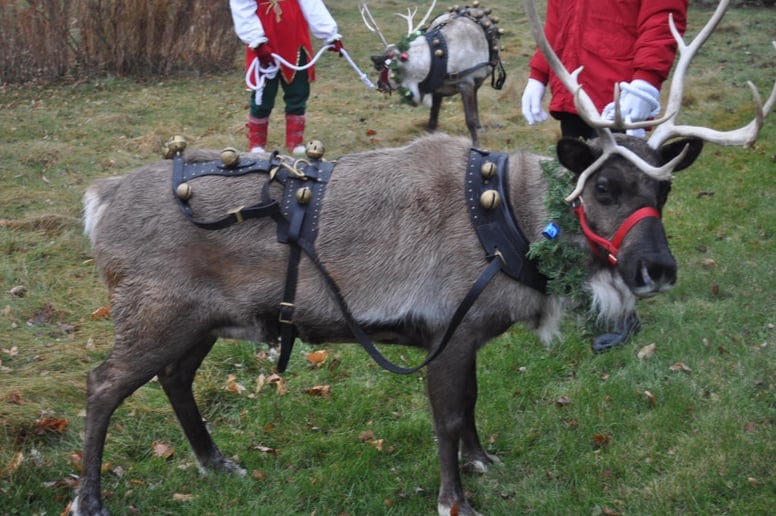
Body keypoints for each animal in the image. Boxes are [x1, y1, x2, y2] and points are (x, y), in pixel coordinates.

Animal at [361, 0, 506, 147]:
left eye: (382, 67)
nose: (378, 84)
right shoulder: (437, 89)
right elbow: (432, 121)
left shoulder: (466, 83)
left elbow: (469, 120)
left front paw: (476, 145)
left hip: (479, 79)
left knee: (475, 97)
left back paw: (479, 126)